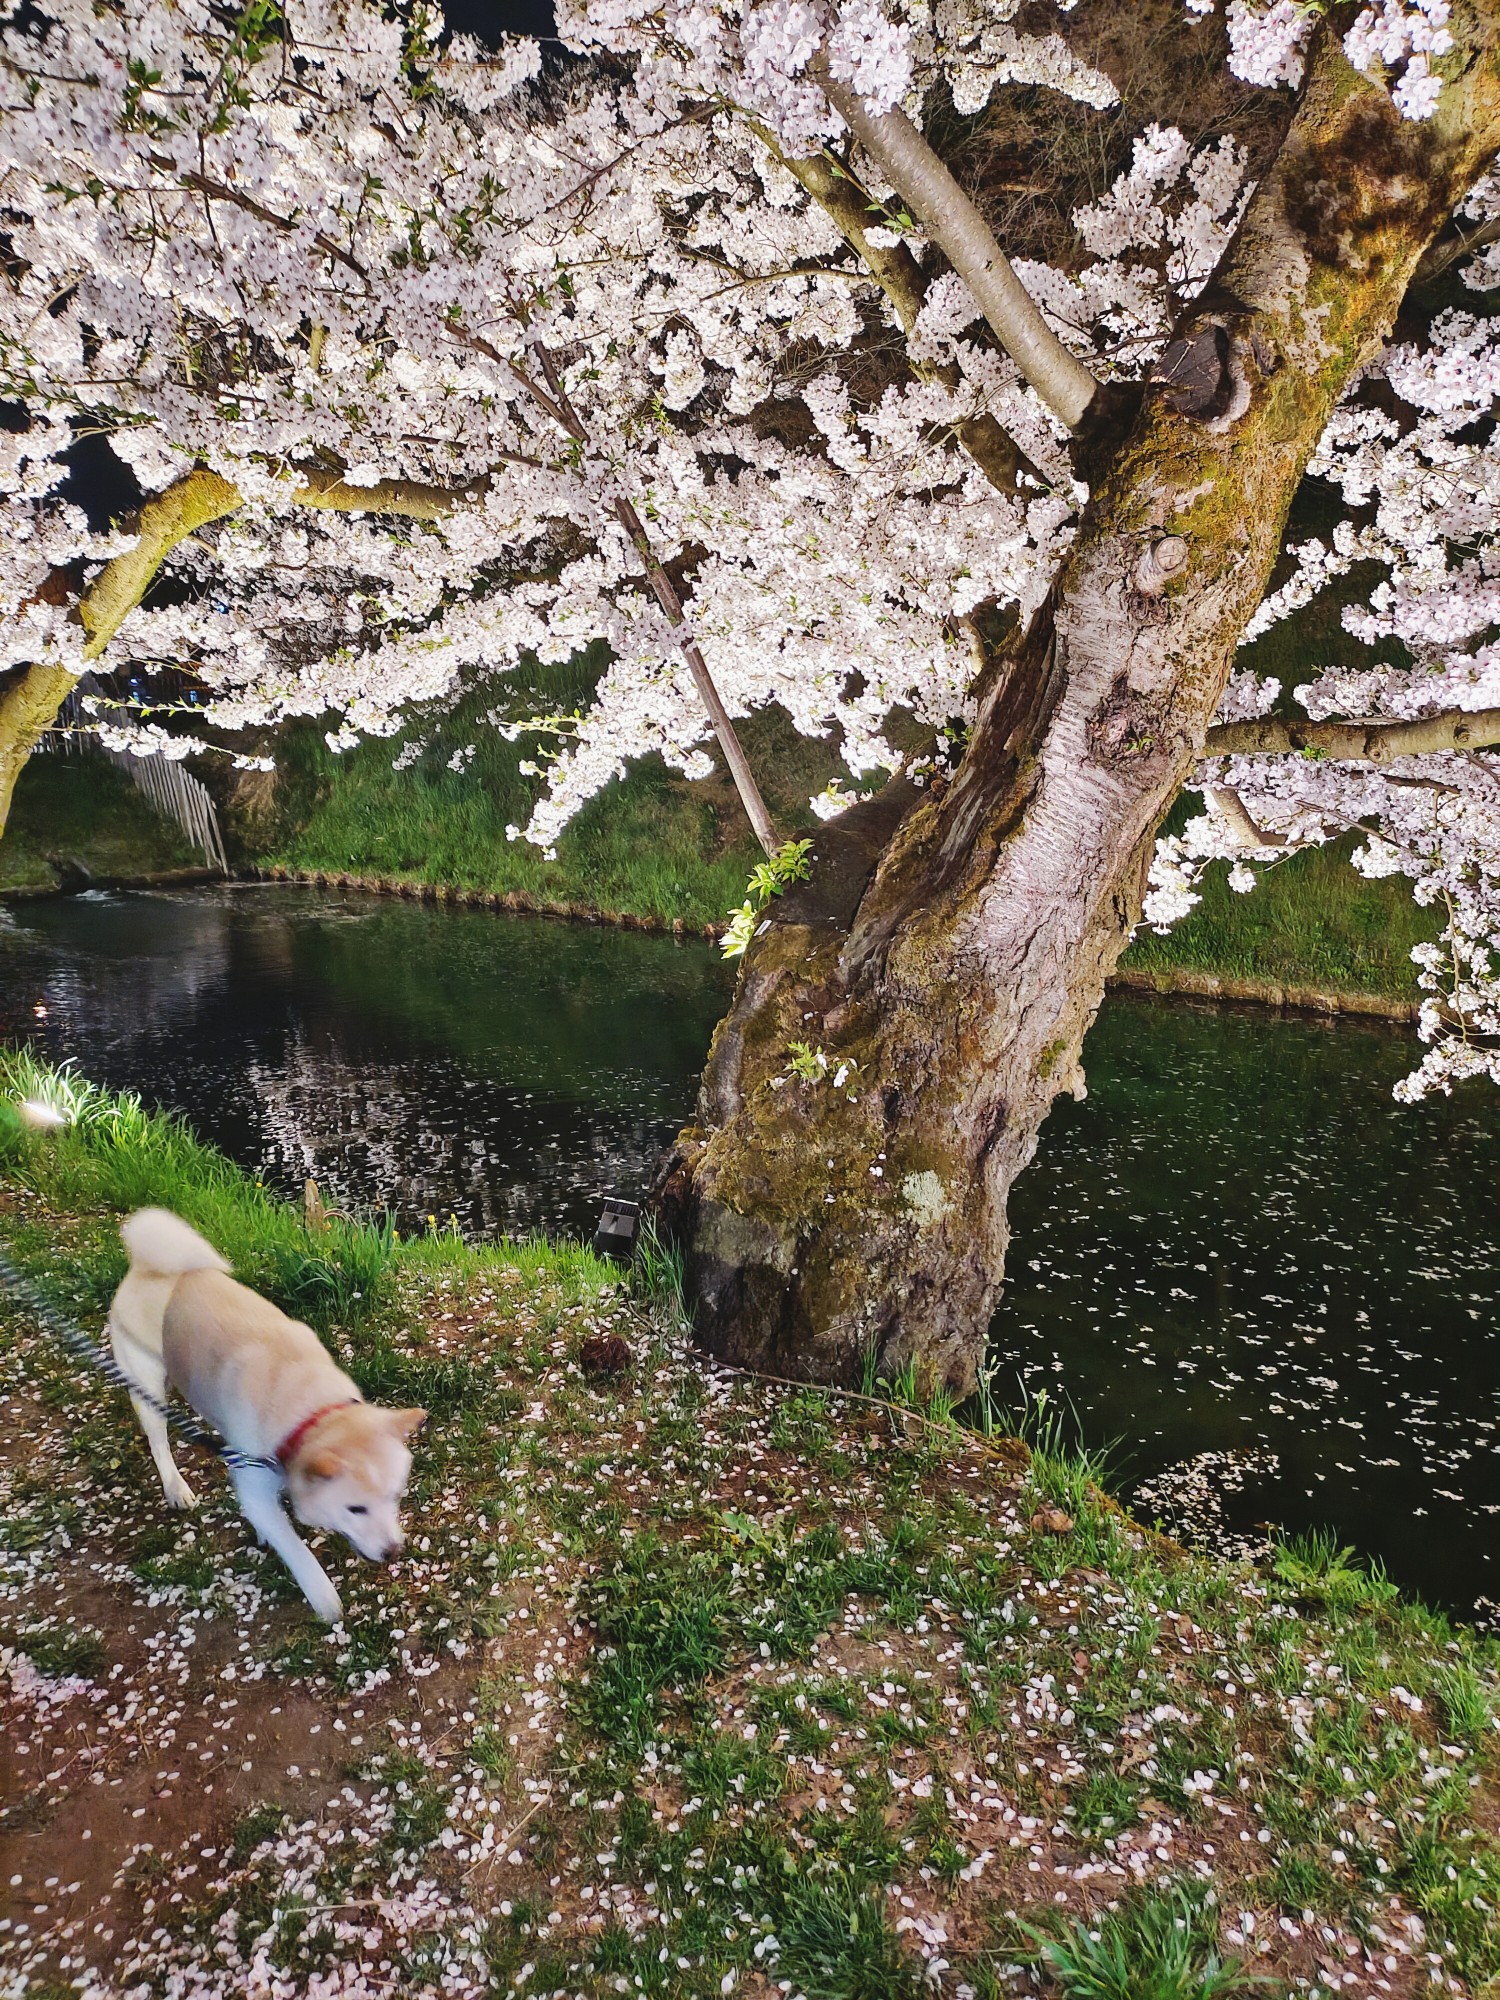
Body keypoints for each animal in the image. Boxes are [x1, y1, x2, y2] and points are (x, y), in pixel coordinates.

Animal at [106, 1200, 426, 1624]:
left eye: (395, 1497)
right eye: (355, 1508)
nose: (393, 1551)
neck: (311, 1409)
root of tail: (148, 1267)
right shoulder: (255, 1487)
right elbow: (299, 1554)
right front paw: (326, 1604)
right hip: (147, 1384)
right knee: (158, 1442)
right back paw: (176, 1488)